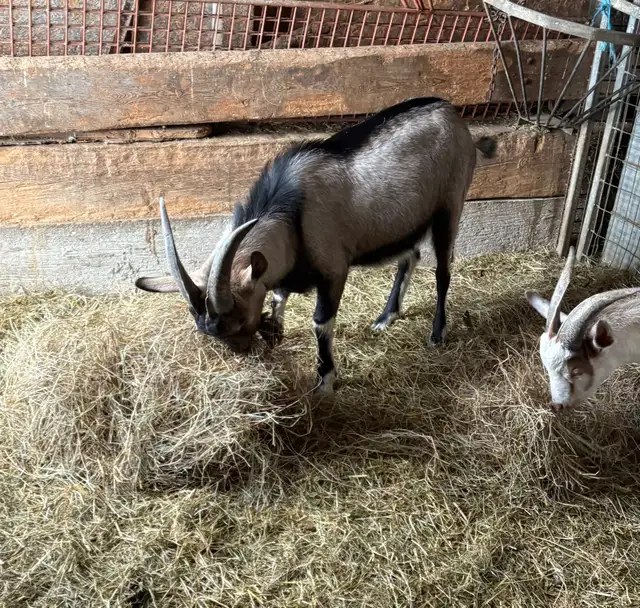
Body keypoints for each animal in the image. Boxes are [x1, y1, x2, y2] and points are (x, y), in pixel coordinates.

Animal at [135, 97, 496, 395]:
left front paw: (325, 381)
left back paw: (437, 334)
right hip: (401, 224)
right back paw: (385, 317)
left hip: (449, 206)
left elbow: (321, 322)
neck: (291, 208)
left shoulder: (334, 270)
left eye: (238, 319)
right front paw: (276, 331)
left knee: (442, 271)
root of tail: (453, 115)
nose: (243, 351)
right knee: (410, 256)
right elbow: (279, 295)